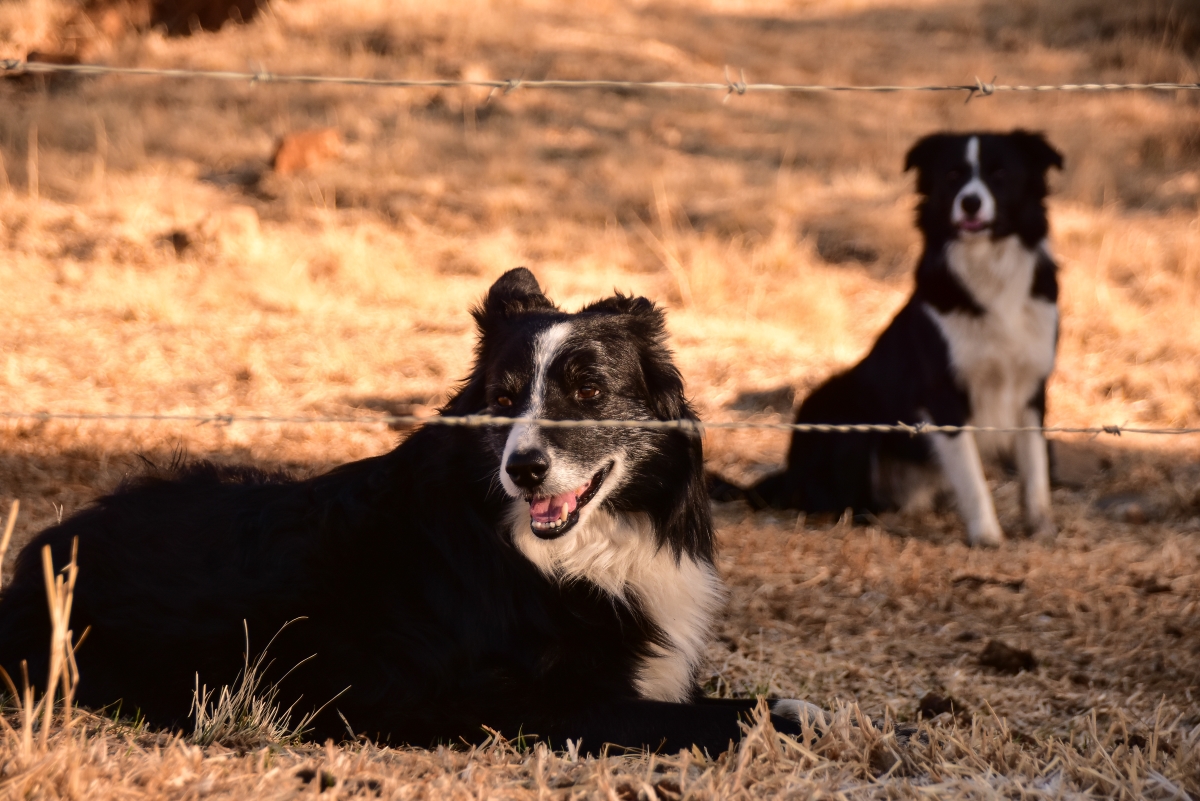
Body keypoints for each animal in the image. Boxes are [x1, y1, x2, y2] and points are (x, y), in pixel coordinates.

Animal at [2, 272, 816, 753]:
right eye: (503, 397)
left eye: (589, 392)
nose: (523, 469)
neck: (552, 552)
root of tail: (43, 549)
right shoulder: (536, 705)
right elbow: (727, 713)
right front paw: (799, 717)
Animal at [734, 131, 1065, 546]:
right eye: (953, 175)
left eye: (1000, 174)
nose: (970, 202)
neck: (989, 271)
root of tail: (789, 474)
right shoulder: (943, 395)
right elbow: (972, 476)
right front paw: (986, 535)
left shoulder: (1032, 384)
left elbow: (1034, 467)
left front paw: (1041, 527)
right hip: (841, 412)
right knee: (838, 499)